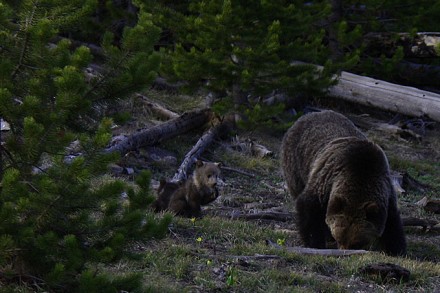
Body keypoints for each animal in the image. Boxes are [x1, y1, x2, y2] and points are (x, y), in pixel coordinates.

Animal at [282, 109, 406, 253]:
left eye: (356, 243)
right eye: (339, 238)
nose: (344, 251)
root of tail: (308, 115)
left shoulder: (386, 191)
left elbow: (392, 223)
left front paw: (396, 248)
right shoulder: (326, 181)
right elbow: (308, 208)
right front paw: (315, 242)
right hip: (296, 164)